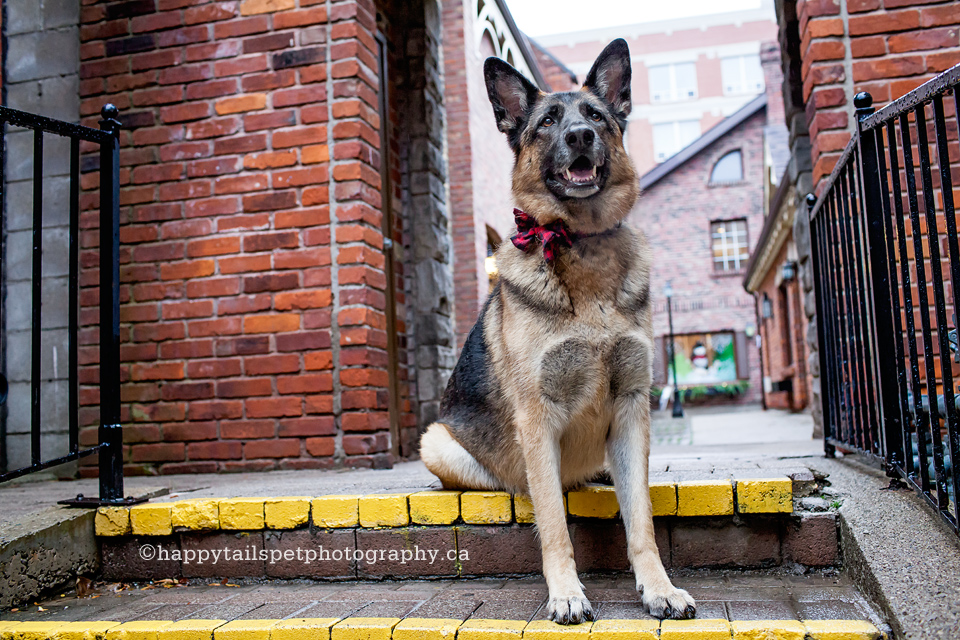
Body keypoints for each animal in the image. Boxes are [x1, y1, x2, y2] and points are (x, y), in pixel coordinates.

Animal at [416, 40, 692, 624]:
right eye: (547, 122)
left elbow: (642, 520)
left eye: (596, 116)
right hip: (440, 443)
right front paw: (566, 592)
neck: (581, 245)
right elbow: (554, 525)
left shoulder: (633, 406)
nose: (580, 136)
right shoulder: (538, 416)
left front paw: (658, 587)